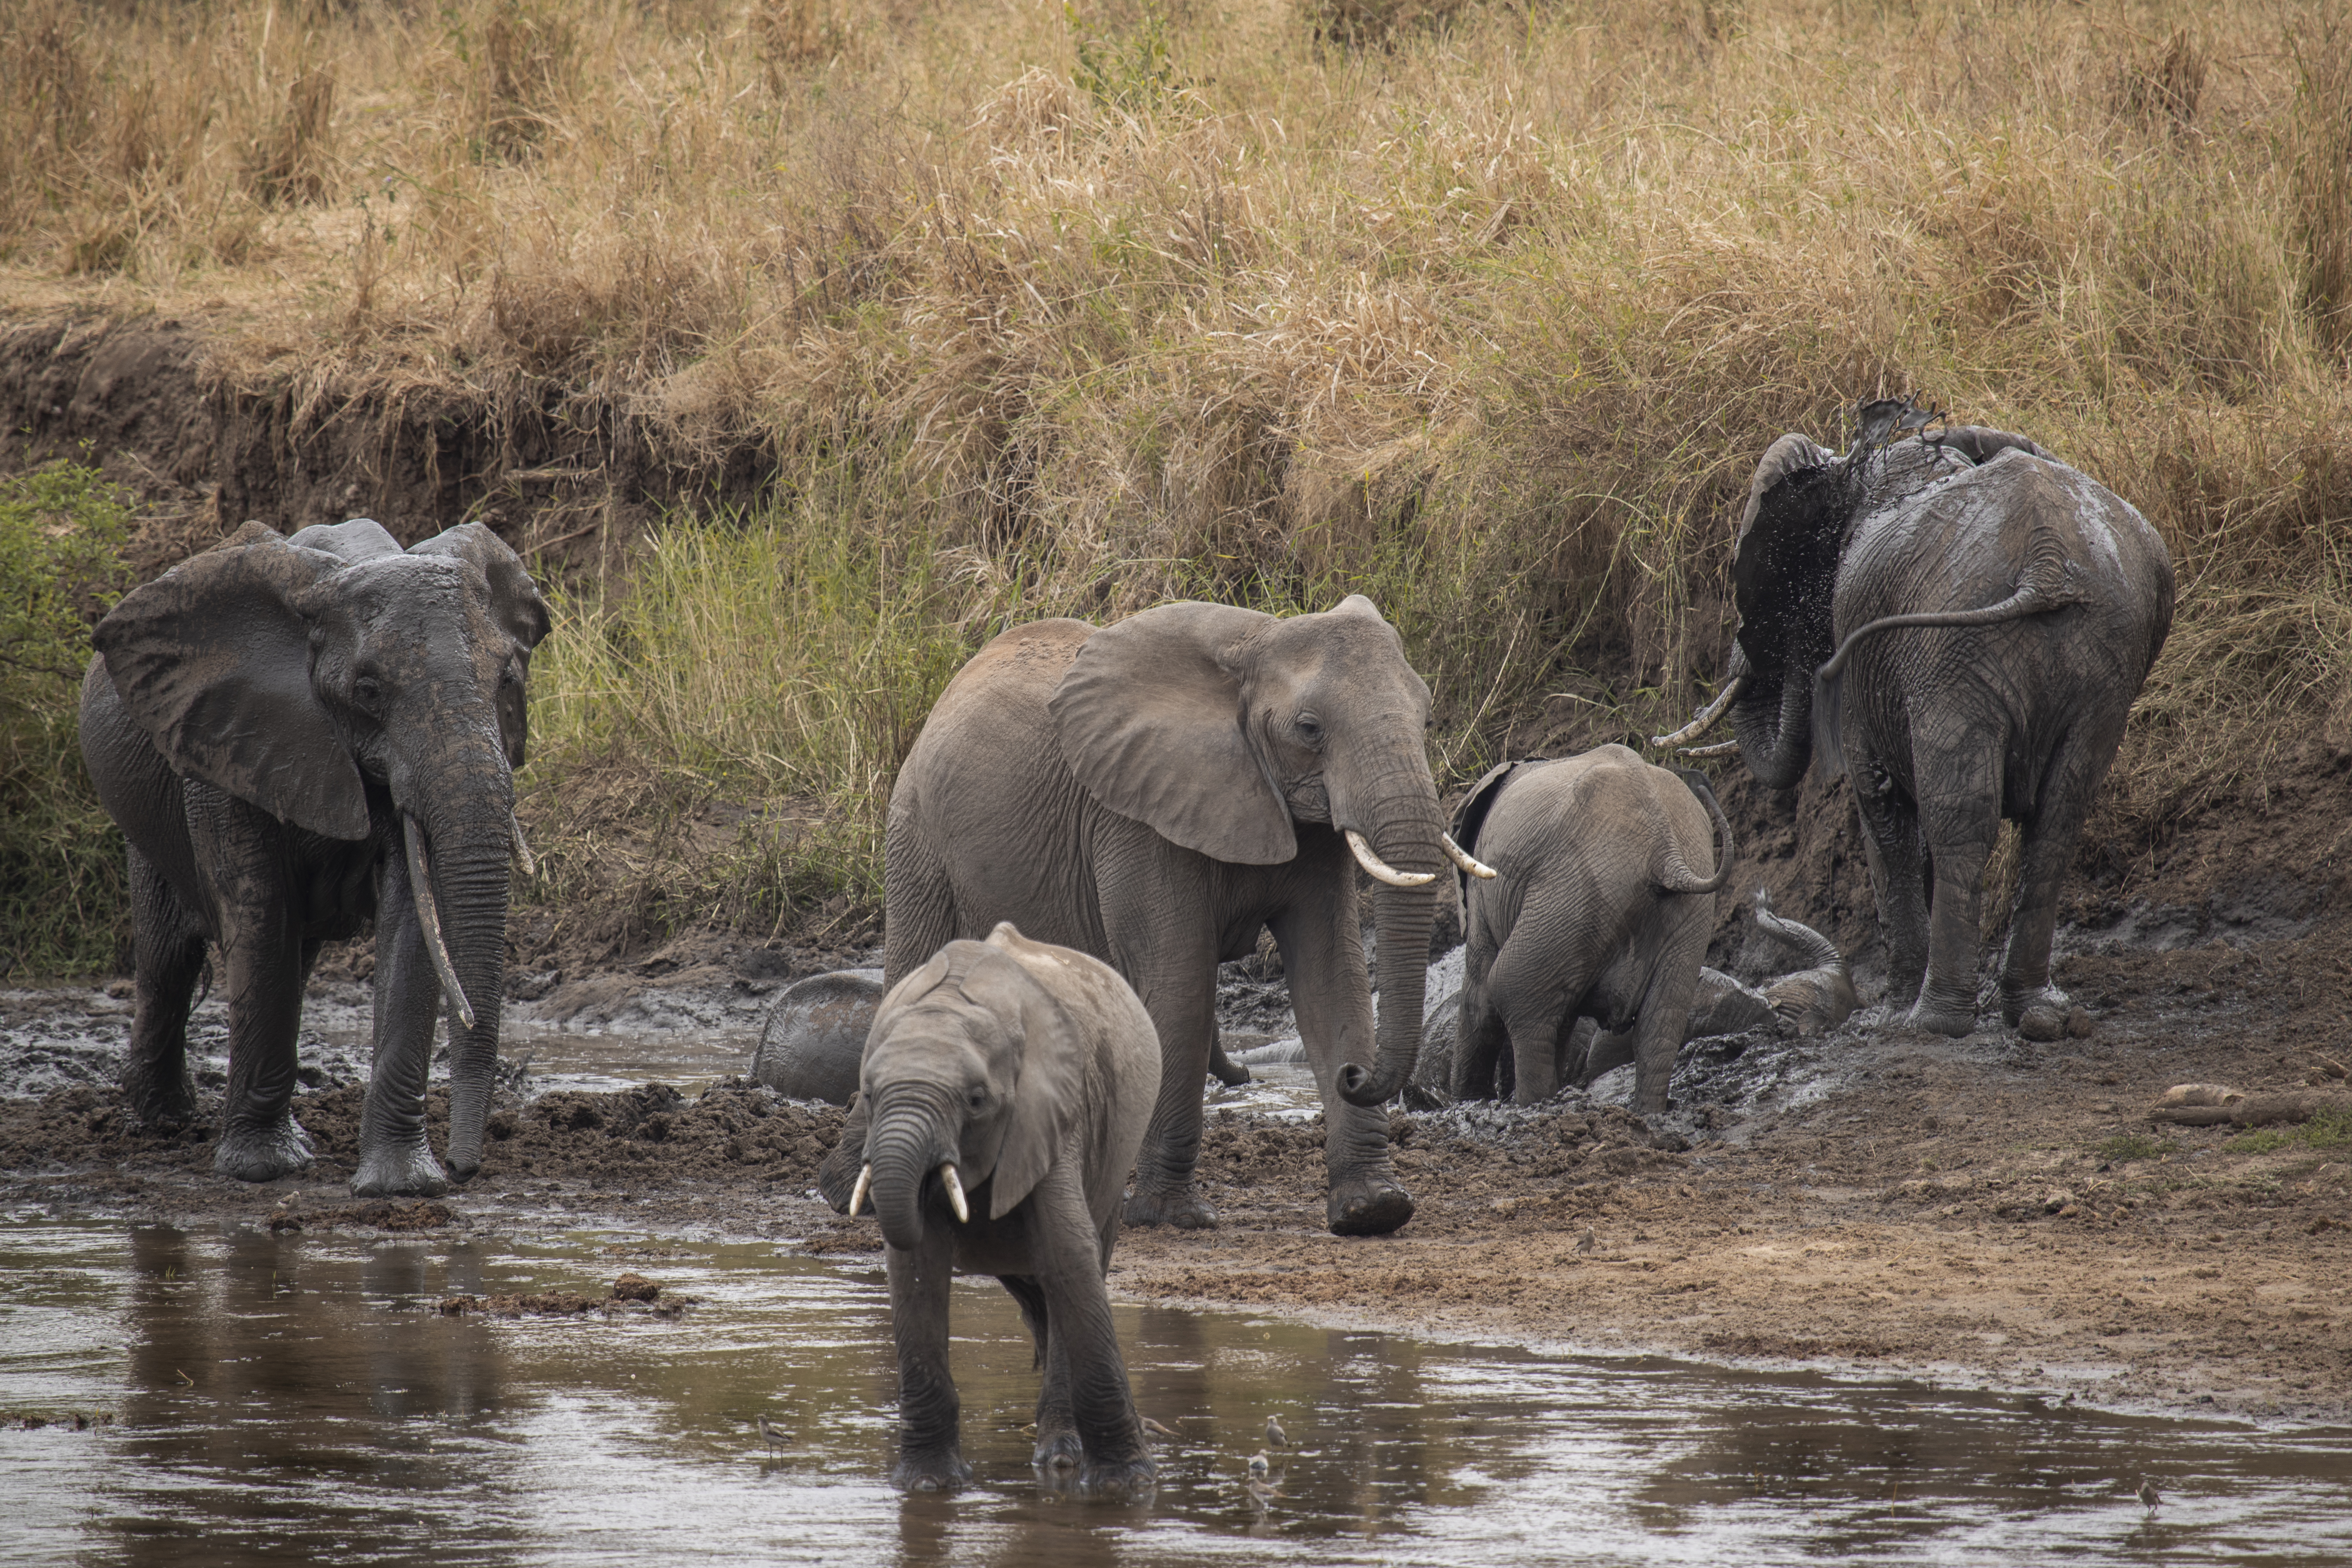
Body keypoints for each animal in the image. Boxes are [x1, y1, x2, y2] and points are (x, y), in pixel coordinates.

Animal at [78, 517, 549, 1193]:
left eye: (507, 681)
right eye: (368, 691)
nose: (466, 1170)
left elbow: (411, 926)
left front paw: (401, 1186)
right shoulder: (224, 747)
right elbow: (259, 918)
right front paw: (262, 1170)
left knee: (286, 962)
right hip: (147, 810)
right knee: (170, 961)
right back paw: (163, 1123)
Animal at [815, 923, 1160, 1495]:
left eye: (976, 1100)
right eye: (868, 1093)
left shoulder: (1053, 1117)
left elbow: (1069, 1258)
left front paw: (1124, 1488)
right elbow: (917, 1269)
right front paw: (928, 1487)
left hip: (1113, 1159)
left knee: (1073, 1266)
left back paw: (1059, 1459)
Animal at [881, 597, 1487, 1236]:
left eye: (1427, 719)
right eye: (1309, 729)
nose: (1355, 1077)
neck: (1257, 644)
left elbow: (1331, 977)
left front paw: (1374, 1209)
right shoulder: (1138, 820)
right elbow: (1180, 985)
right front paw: (1172, 1217)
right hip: (915, 830)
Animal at [1448, 746, 1733, 1111]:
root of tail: (1667, 852)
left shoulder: (1484, 889)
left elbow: (1480, 997)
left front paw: (1468, 1102)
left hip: (1576, 889)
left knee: (1511, 990)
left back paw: (1531, 1107)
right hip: (1684, 911)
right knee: (1660, 1025)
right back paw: (1646, 1114)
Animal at [1659, 397, 2174, 1039]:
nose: (1687, 765)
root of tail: (2047, 559)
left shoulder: (1864, 658)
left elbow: (1878, 801)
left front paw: (1893, 1009)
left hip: (1952, 653)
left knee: (1961, 817)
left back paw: (1931, 1020)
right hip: (2103, 658)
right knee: (2057, 820)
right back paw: (2039, 1015)